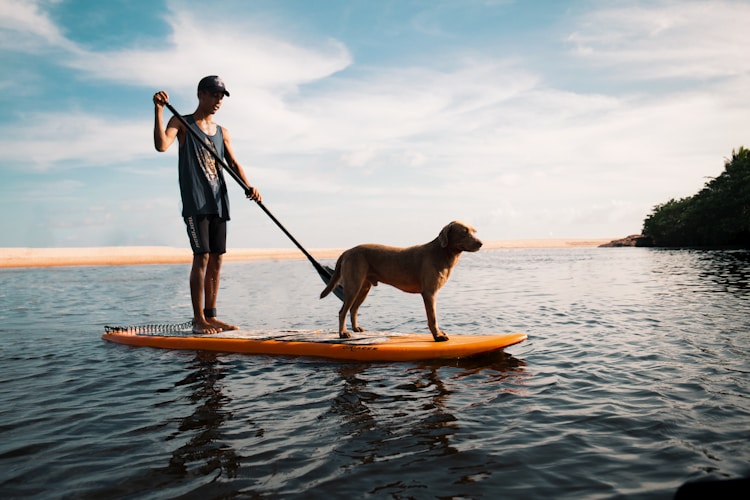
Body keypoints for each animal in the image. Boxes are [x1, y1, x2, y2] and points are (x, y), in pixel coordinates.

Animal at [320, 221, 484, 342]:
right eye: (464, 232)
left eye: (473, 231)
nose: (481, 243)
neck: (443, 253)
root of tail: (347, 251)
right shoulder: (429, 293)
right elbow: (433, 318)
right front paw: (438, 336)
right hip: (353, 285)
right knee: (343, 311)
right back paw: (343, 333)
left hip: (364, 287)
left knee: (353, 309)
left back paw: (356, 329)